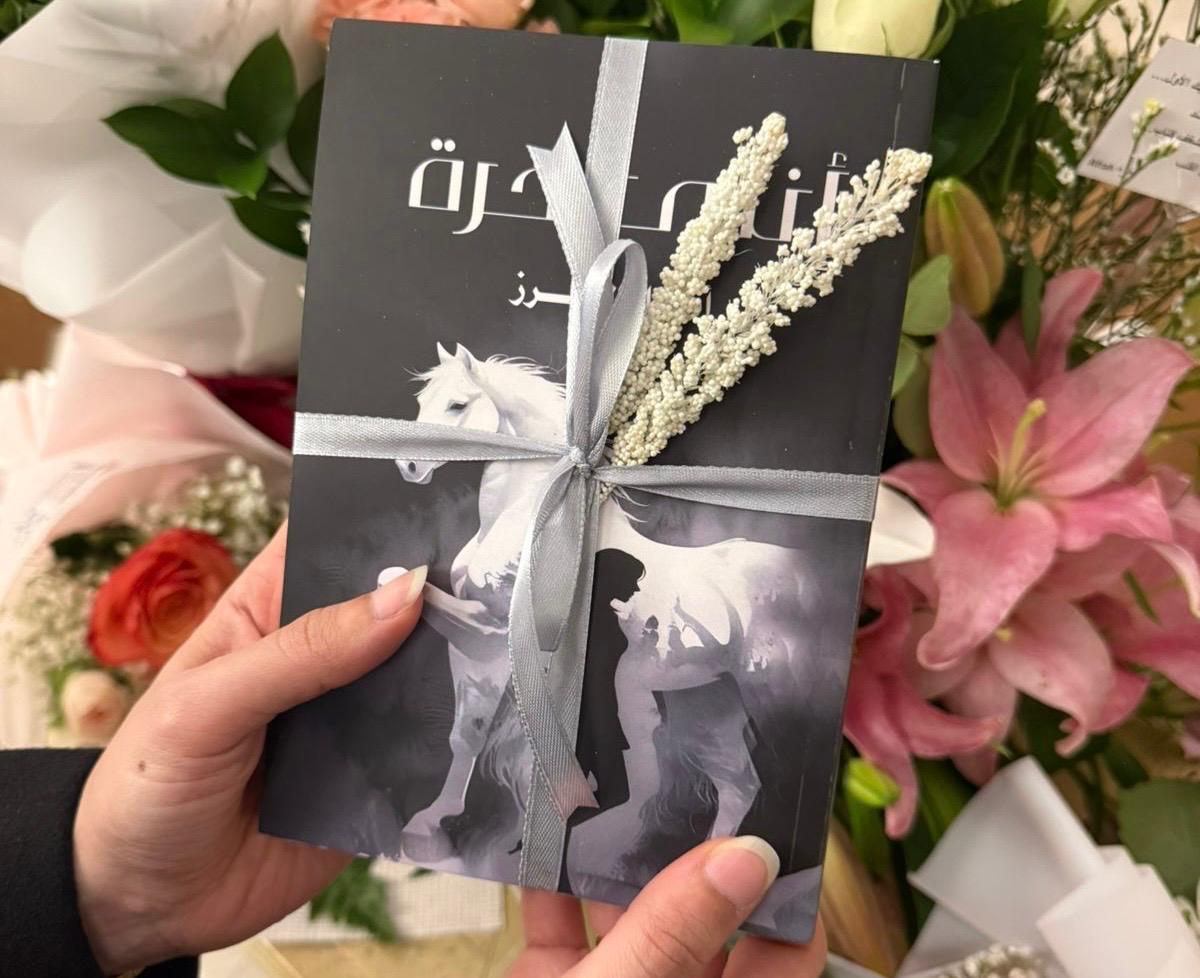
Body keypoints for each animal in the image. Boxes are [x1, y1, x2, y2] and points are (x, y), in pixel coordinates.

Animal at [384, 342, 809, 879]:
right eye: (422, 400)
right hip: (707, 698)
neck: (531, 526)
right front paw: (429, 825)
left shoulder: (491, 635)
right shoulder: (475, 652)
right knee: (739, 783)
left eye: (458, 404)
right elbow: (465, 735)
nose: (409, 465)